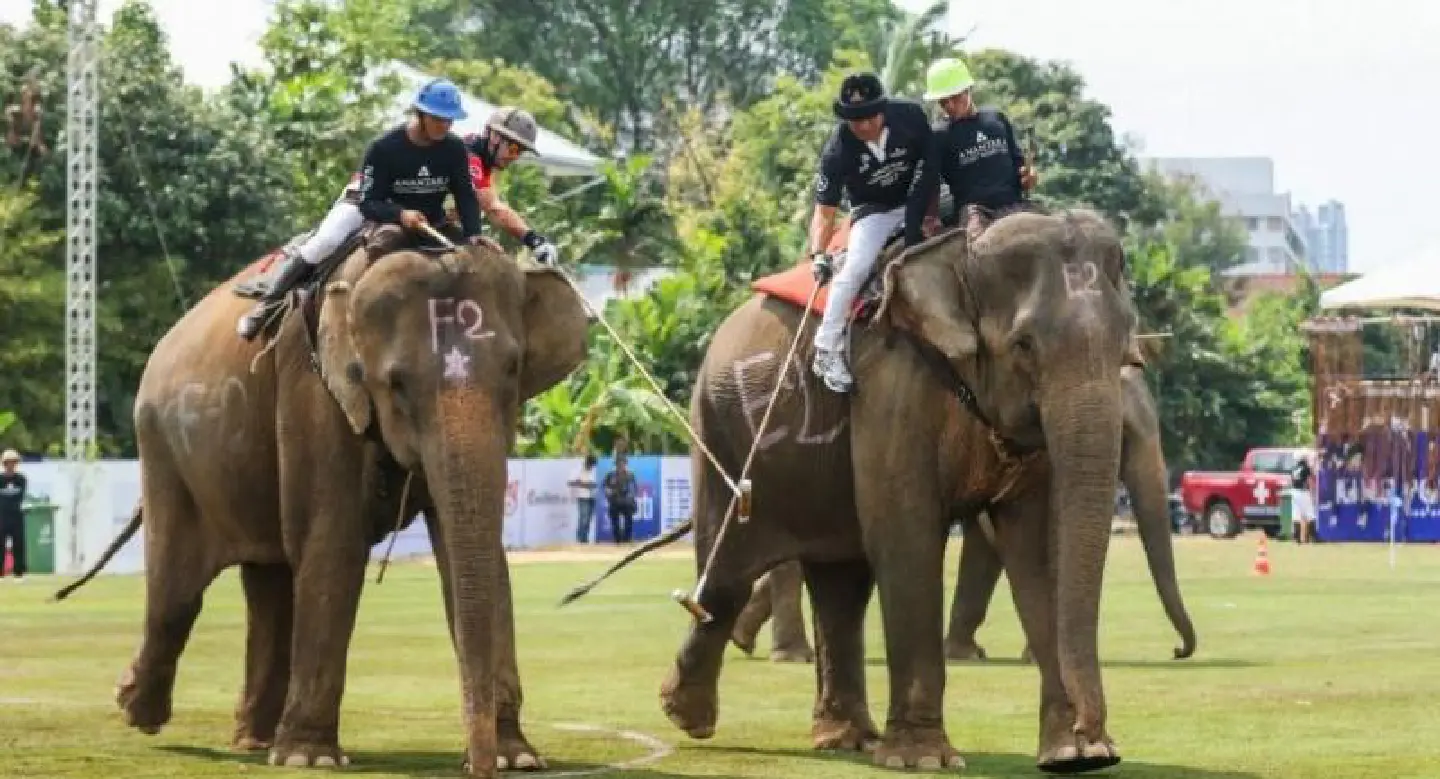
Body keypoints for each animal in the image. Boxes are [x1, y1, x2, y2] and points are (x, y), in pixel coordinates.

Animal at [55, 227, 588, 777]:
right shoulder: (311, 383)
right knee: (177, 591)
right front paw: (309, 759)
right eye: (395, 382)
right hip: (164, 449)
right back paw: (138, 710)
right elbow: (334, 542)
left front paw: (517, 758)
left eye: (513, 369)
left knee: (269, 584)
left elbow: (477, 554)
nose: (478, 766)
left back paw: (252, 741)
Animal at [646, 208, 1144, 774]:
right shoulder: (893, 386)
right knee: (727, 571)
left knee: (840, 585)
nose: (1093, 735)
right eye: (1024, 345)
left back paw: (845, 738)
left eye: (1126, 346)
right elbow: (907, 538)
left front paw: (1071, 755)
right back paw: (688, 717)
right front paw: (923, 760)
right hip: (719, 431)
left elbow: (1038, 550)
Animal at [732, 365, 1197, 666]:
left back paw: (742, 638)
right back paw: (791, 655)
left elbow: (991, 541)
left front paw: (971, 653)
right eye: (1126, 434)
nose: (1178, 651)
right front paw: (1019, 656)